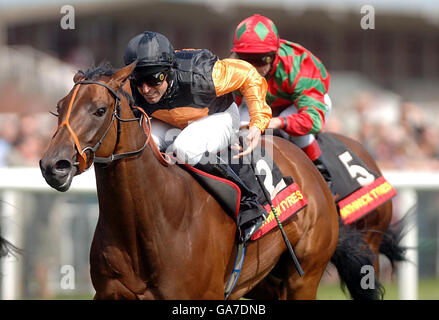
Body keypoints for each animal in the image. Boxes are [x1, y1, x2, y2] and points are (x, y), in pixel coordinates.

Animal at [37, 62, 382, 300]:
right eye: (59, 109)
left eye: (99, 110)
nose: (54, 165)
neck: (153, 218)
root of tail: (310, 168)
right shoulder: (110, 293)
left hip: (304, 277)